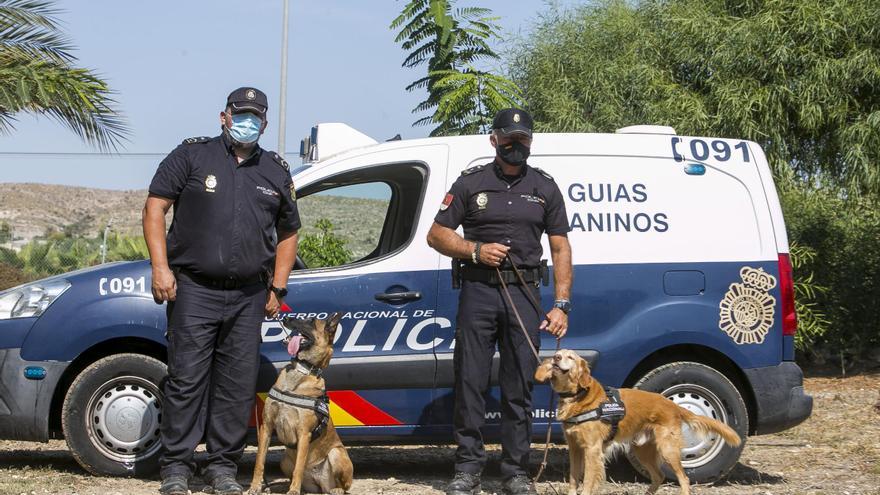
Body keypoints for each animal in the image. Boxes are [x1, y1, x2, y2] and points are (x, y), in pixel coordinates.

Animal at [248, 316, 350, 494]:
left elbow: (299, 468)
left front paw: (294, 490)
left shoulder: (304, 434)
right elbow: (259, 461)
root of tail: (321, 484)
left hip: (336, 453)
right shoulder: (266, 426)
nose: (285, 318)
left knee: (344, 486)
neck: (301, 370)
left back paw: (335, 489)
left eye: (311, 320)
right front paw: (255, 486)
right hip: (284, 461)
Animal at [536, 350, 744, 494]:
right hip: (642, 450)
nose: (555, 358)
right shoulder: (575, 447)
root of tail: (671, 404)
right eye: (557, 354)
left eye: (570, 357)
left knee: (684, 479)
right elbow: (573, 479)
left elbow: (587, 481)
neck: (578, 397)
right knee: (659, 476)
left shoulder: (592, 449)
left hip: (667, 449)